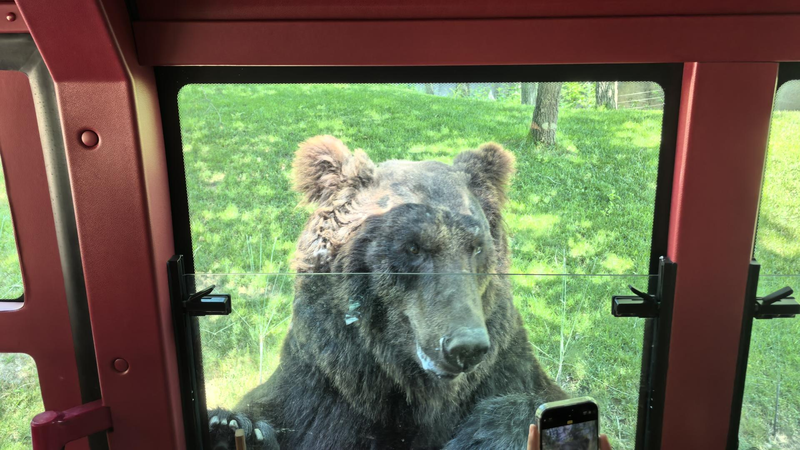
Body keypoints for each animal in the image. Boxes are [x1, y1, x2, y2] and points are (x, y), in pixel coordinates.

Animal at [208, 135, 567, 450]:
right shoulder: (322, 385)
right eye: (412, 246)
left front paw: (484, 434)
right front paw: (234, 427)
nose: (466, 346)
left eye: (477, 247)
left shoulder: (502, 369)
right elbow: (277, 412)